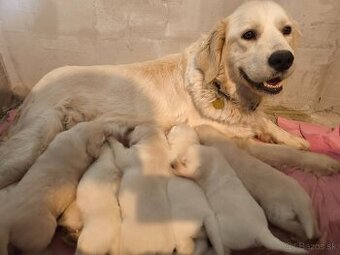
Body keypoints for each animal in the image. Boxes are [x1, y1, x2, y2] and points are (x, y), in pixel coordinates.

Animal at [109, 124, 177, 255]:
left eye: (133, 129)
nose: (129, 128)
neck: (155, 144)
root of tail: (156, 249)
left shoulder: (126, 155)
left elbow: (118, 148)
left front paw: (110, 138)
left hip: (127, 237)